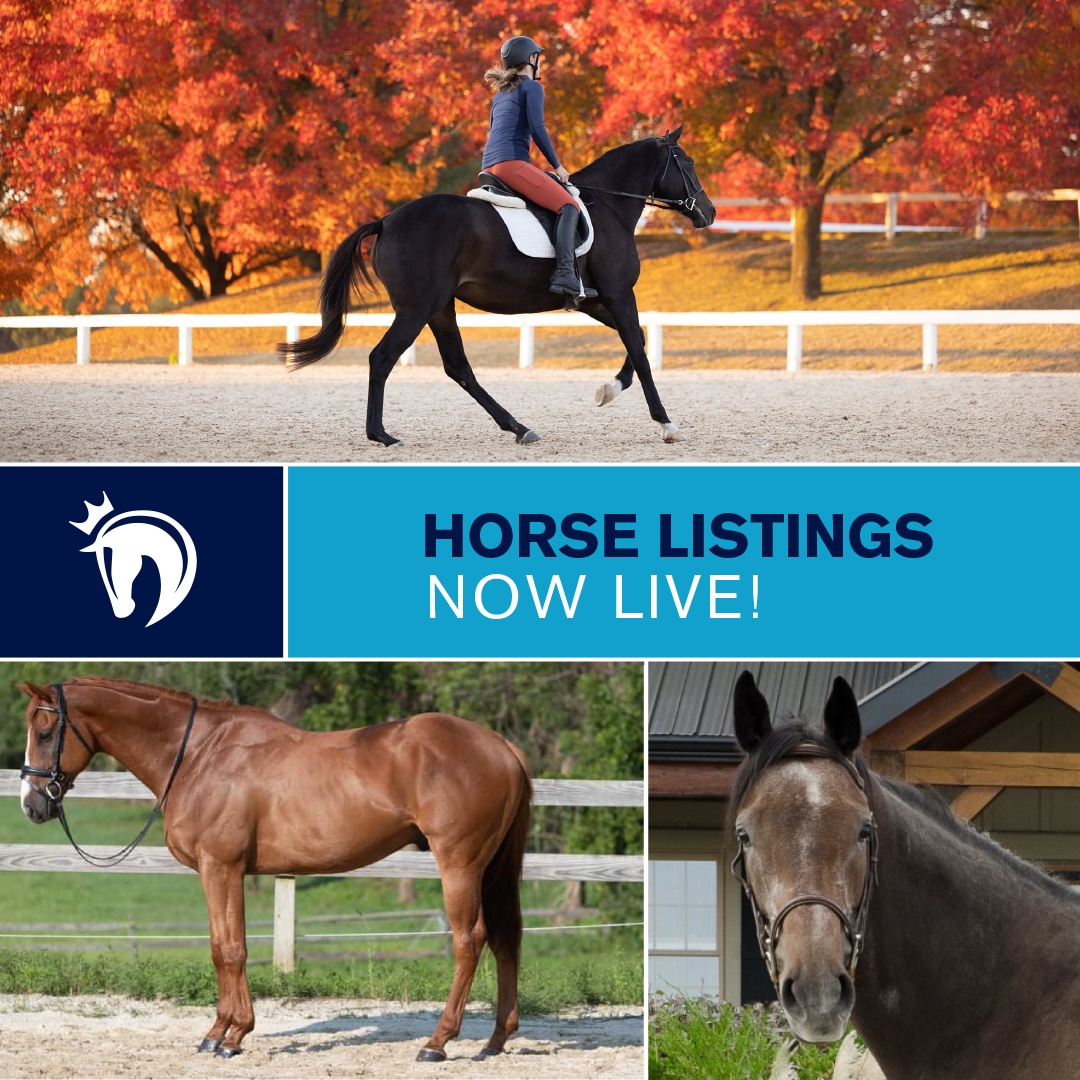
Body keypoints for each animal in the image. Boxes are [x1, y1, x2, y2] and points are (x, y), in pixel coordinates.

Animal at [18, 678, 532, 1062]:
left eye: (44, 732)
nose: (32, 805)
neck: (199, 755)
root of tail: (502, 745)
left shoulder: (221, 867)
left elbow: (231, 951)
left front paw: (232, 1036)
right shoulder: (219, 871)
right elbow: (220, 947)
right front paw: (217, 1032)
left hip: (460, 864)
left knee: (470, 940)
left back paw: (437, 1042)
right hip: (493, 868)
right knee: (506, 937)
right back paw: (496, 1040)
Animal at [277, 126, 715, 447]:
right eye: (689, 163)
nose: (709, 212)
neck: (608, 206)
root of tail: (385, 221)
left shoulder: (596, 300)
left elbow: (637, 339)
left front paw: (609, 389)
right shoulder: (619, 293)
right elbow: (640, 353)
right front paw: (666, 423)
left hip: (439, 308)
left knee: (458, 367)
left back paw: (518, 427)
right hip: (417, 309)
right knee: (382, 358)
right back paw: (383, 436)